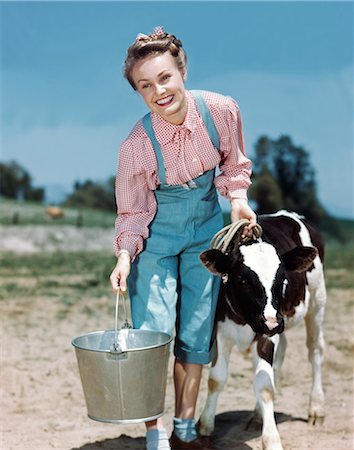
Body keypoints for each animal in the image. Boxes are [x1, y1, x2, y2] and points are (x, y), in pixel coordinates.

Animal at [199, 211, 326, 450]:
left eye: (283, 278)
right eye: (242, 279)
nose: (271, 322)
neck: (243, 319)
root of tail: (289, 214)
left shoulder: (267, 334)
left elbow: (264, 385)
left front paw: (272, 439)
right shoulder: (221, 331)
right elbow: (216, 379)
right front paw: (204, 425)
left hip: (316, 302)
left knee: (315, 351)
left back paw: (316, 408)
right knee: (280, 355)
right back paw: (258, 414)